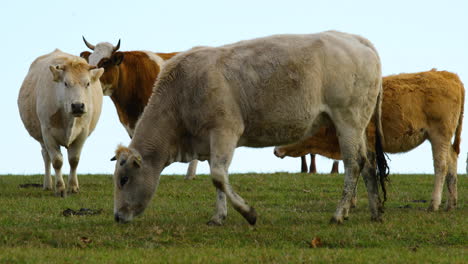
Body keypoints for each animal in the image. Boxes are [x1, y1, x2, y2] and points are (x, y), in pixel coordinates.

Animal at [17, 49, 103, 196]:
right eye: (66, 83)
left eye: (87, 84)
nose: (78, 106)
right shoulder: (47, 132)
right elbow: (56, 161)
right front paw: (60, 188)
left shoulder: (83, 132)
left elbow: (74, 160)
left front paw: (73, 187)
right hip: (41, 135)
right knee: (46, 156)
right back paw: (47, 185)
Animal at [109, 30, 388, 225]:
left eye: (123, 179)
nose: (117, 216)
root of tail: (356, 39)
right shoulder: (209, 140)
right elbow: (217, 179)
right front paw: (219, 216)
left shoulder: (225, 130)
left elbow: (218, 176)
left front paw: (248, 213)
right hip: (359, 125)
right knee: (368, 162)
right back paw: (375, 211)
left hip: (347, 118)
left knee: (353, 163)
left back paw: (339, 213)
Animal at [274, 69, 464, 211]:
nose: (275, 150)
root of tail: (450, 76)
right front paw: (352, 202)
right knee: (452, 160)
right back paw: (451, 203)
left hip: (439, 135)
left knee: (441, 166)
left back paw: (434, 204)